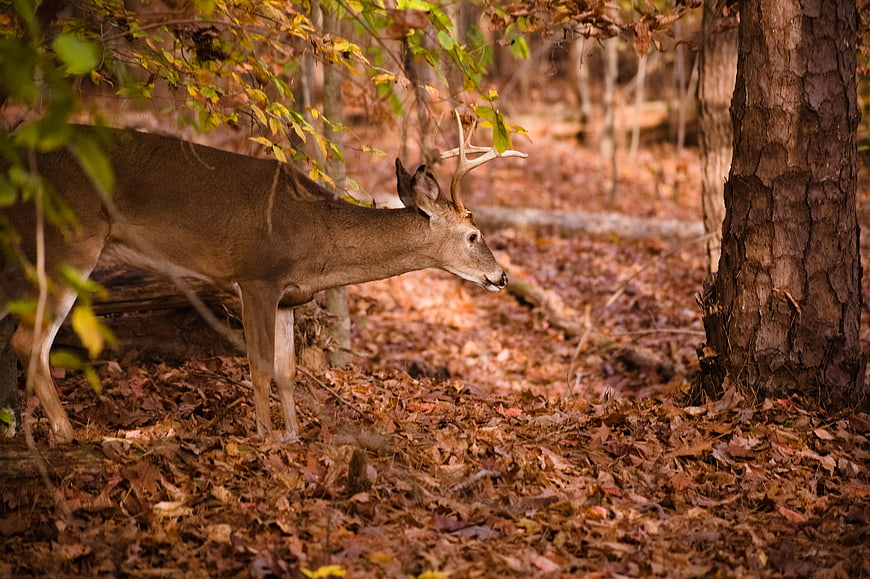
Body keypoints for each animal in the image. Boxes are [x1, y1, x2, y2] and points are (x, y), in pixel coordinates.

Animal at [0, 114, 526, 442]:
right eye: (474, 234)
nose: (501, 277)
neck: (318, 239)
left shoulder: (289, 297)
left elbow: (288, 371)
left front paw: (293, 436)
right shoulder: (256, 277)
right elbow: (257, 366)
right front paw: (266, 439)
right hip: (71, 239)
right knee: (30, 341)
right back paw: (68, 435)